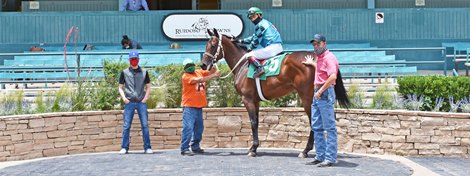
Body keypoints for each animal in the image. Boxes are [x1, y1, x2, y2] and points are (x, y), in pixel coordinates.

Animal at [202, 28, 348, 157]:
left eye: (213, 45)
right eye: (206, 44)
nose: (203, 65)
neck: (242, 65)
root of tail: (315, 57)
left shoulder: (247, 99)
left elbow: (253, 122)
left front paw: (253, 149)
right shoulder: (255, 101)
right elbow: (256, 122)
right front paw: (254, 147)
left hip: (307, 97)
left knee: (315, 121)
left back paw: (306, 150)